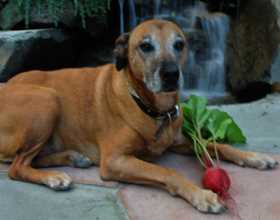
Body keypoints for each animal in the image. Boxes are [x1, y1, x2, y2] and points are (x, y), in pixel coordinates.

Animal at [0, 19, 278, 214]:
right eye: (145, 46)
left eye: (179, 44)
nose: (171, 74)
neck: (153, 108)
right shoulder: (115, 161)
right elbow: (167, 172)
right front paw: (201, 195)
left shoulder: (179, 142)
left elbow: (216, 145)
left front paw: (255, 157)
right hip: (48, 100)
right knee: (17, 167)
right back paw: (54, 178)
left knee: (30, 159)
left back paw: (72, 158)